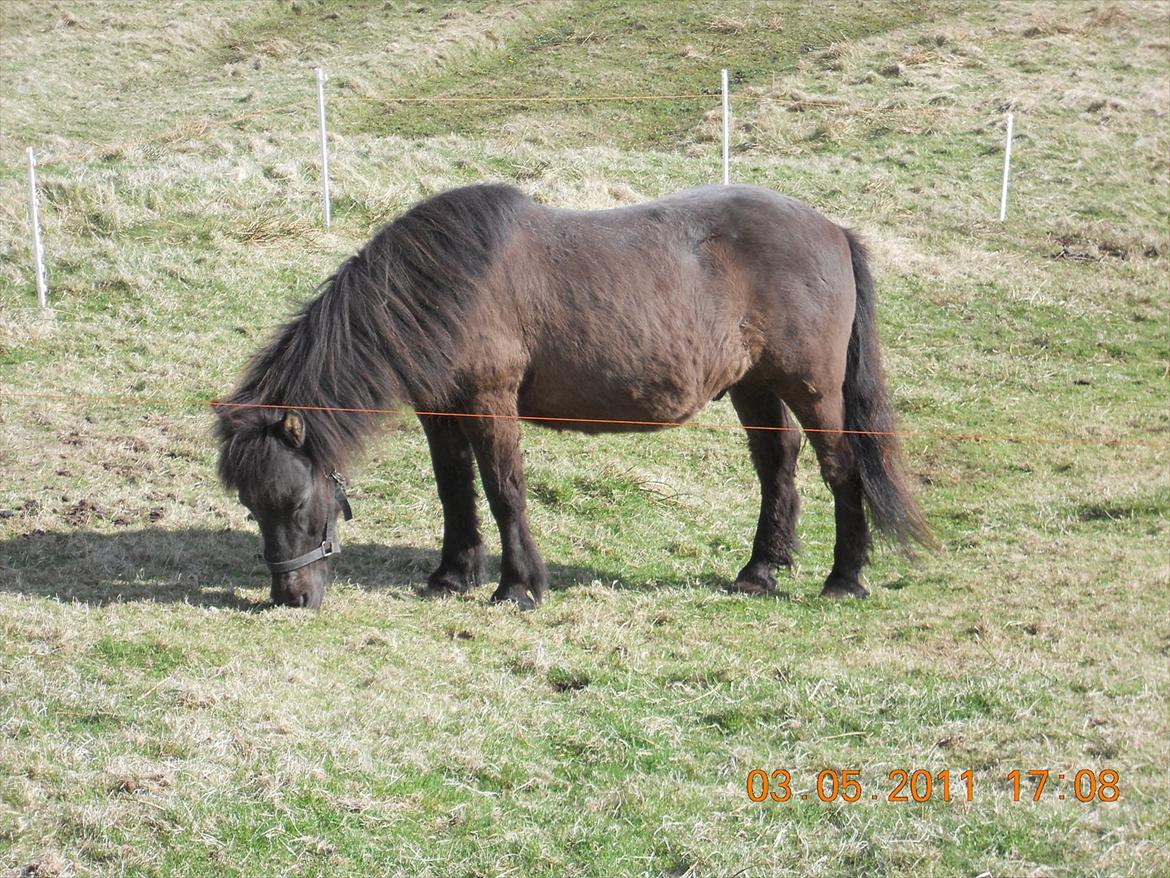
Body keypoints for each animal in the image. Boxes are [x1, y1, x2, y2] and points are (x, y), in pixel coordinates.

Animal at [212, 183, 931, 613]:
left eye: (294, 502)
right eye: (251, 506)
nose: (289, 596)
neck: (446, 285)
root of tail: (832, 229)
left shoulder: (489, 403)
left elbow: (503, 490)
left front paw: (517, 586)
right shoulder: (441, 410)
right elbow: (455, 491)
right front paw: (452, 575)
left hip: (811, 389)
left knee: (841, 471)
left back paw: (844, 578)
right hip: (753, 387)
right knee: (776, 468)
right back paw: (759, 571)